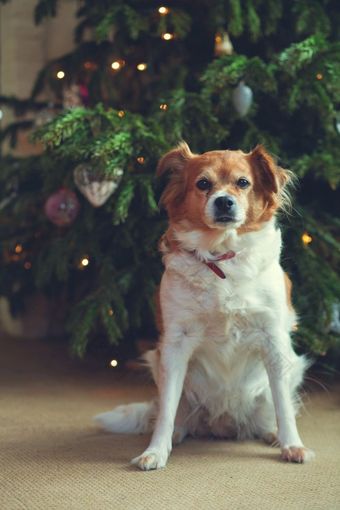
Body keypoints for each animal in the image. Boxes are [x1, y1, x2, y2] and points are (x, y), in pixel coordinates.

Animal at [95, 142, 314, 470]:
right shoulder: (174, 345)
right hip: (160, 365)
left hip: (288, 370)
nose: (224, 202)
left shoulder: (273, 340)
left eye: (243, 182)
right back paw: (176, 435)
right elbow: (166, 411)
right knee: (173, 414)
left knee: (270, 410)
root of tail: (222, 423)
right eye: (202, 184)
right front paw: (155, 451)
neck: (221, 256)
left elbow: (284, 406)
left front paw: (292, 445)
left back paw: (272, 434)